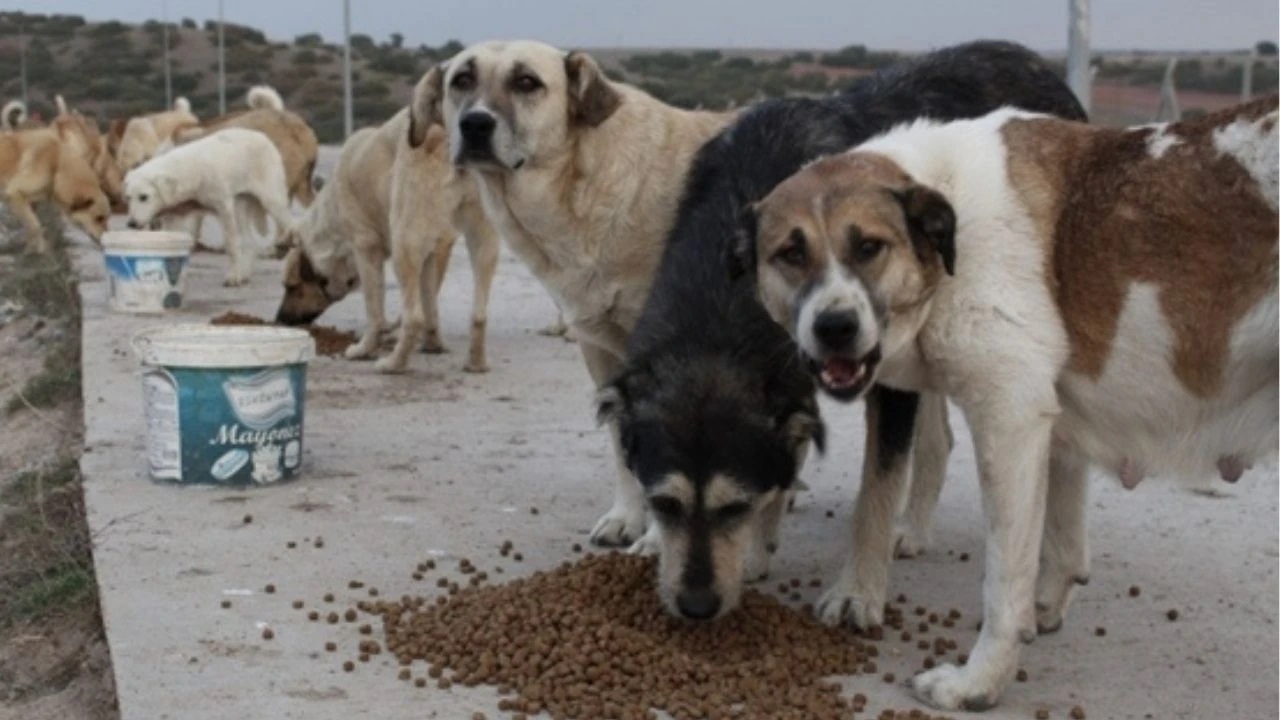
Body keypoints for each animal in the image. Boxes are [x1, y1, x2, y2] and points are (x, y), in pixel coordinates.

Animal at [124, 127, 293, 284]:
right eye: (128, 198)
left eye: (144, 197)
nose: (131, 224)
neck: (188, 171)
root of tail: (261, 135)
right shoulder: (173, 218)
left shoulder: (224, 208)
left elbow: (231, 245)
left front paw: (233, 276)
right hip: (240, 206)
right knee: (250, 242)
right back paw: (245, 275)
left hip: (272, 202)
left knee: (291, 225)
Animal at [752, 98, 1274, 707]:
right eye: (791, 253)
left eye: (869, 248)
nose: (835, 327)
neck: (950, 246)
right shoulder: (1053, 423)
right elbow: (1063, 541)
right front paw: (1044, 607)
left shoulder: (1010, 418)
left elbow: (1003, 579)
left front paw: (979, 682)